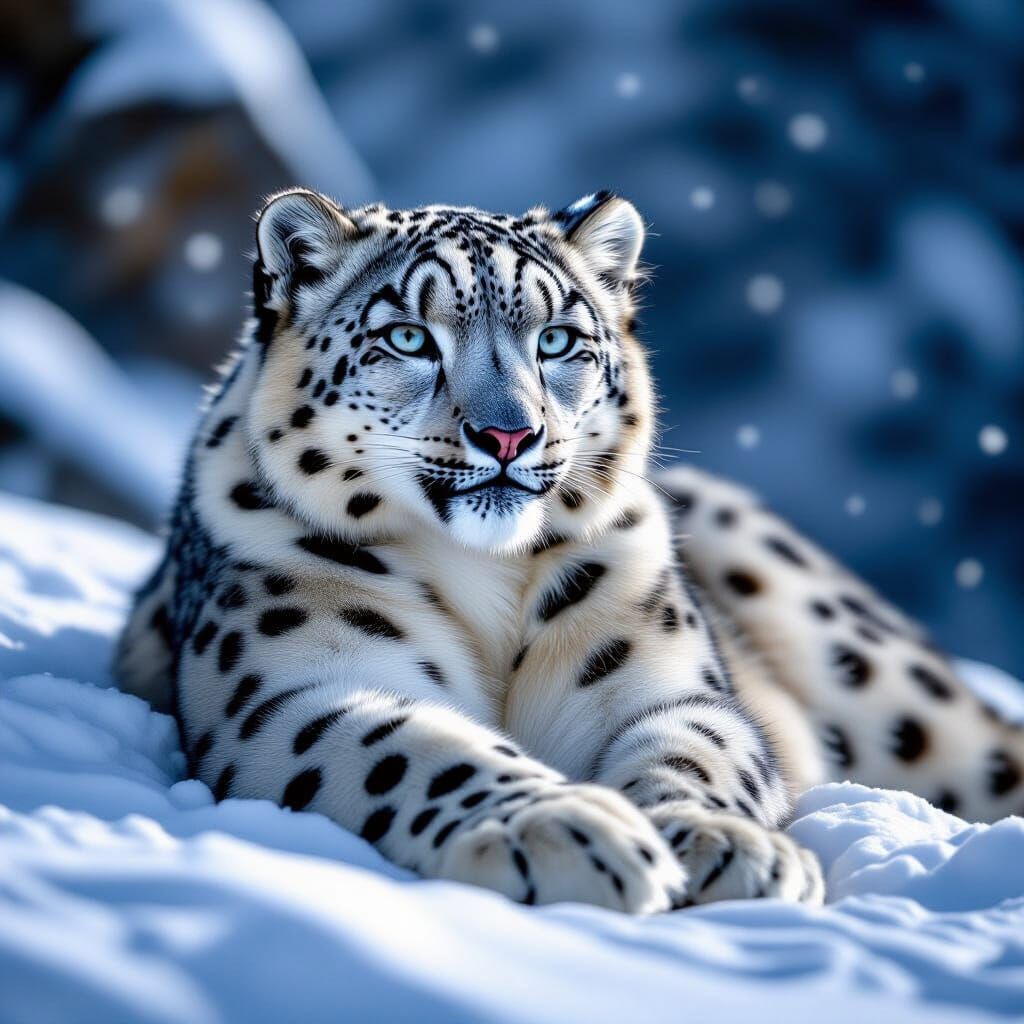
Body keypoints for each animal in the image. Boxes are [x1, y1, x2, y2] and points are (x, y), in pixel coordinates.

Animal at [117, 188, 1023, 913]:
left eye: (557, 341)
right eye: (408, 338)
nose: (509, 434)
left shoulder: (663, 681)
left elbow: (697, 751)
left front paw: (721, 843)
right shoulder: (293, 688)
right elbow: (414, 748)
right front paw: (565, 831)